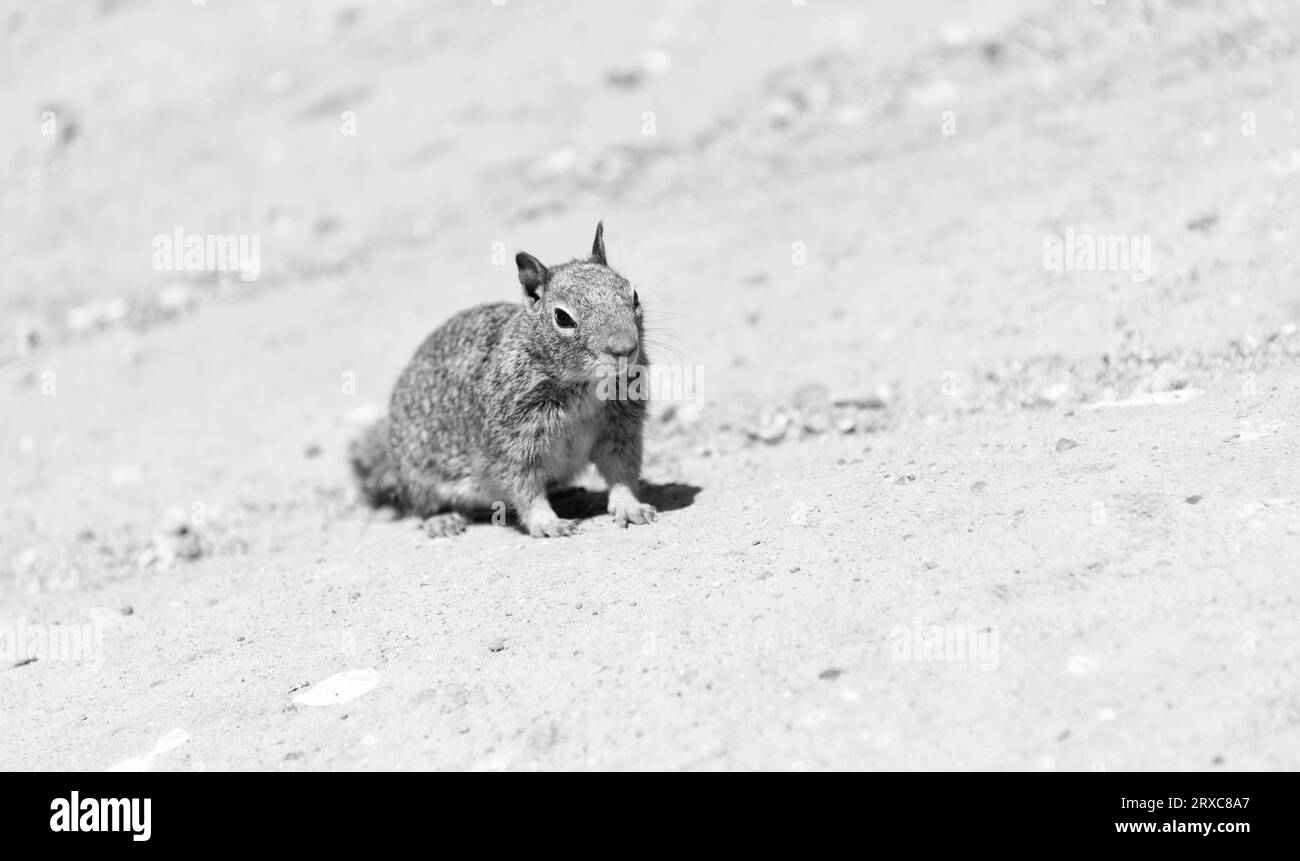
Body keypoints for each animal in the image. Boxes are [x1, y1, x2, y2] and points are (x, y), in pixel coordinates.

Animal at [351, 222, 655, 535]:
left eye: (633, 295)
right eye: (562, 317)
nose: (625, 348)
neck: (583, 385)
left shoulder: (621, 429)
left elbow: (621, 472)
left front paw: (630, 506)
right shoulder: (514, 443)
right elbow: (525, 488)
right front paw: (548, 523)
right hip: (421, 479)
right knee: (420, 508)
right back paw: (443, 519)